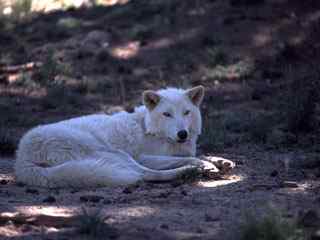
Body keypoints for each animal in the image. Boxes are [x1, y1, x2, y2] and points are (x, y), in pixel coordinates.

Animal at [13, 85, 221, 188]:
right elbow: (191, 158)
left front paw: (220, 160)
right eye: (167, 114)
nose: (182, 134)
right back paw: (187, 172)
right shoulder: (144, 156)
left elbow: (201, 154)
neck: (149, 127)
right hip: (116, 154)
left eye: (186, 112)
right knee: (145, 174)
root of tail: (21, 158)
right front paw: (205, 165)